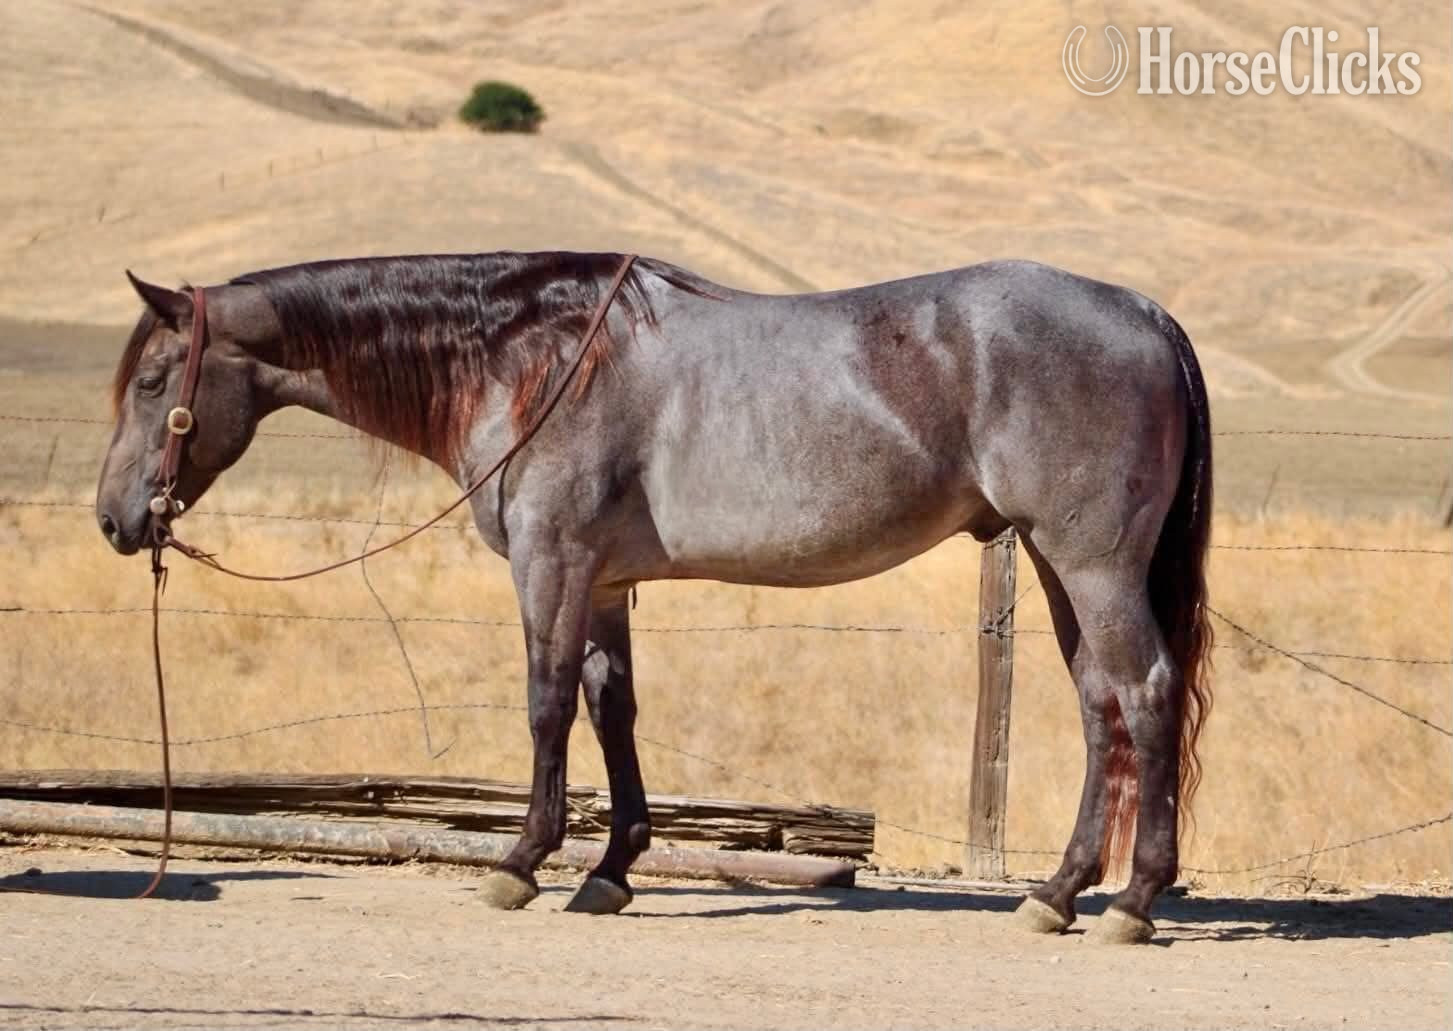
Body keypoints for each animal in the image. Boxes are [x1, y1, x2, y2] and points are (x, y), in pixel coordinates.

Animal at [96, 250, 1212, 944]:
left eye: (154, 381)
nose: (114, 519)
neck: (534, 357)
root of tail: (1145, 314)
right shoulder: (602, 581)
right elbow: (610, 708)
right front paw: (610, 869)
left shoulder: (549, 564)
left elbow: (547, 706)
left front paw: (521, 860)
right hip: (1056, 564)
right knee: (1100, 706)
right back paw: (1058, 891)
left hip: (1090, 563)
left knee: (1145, 693)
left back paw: (1133, 899)